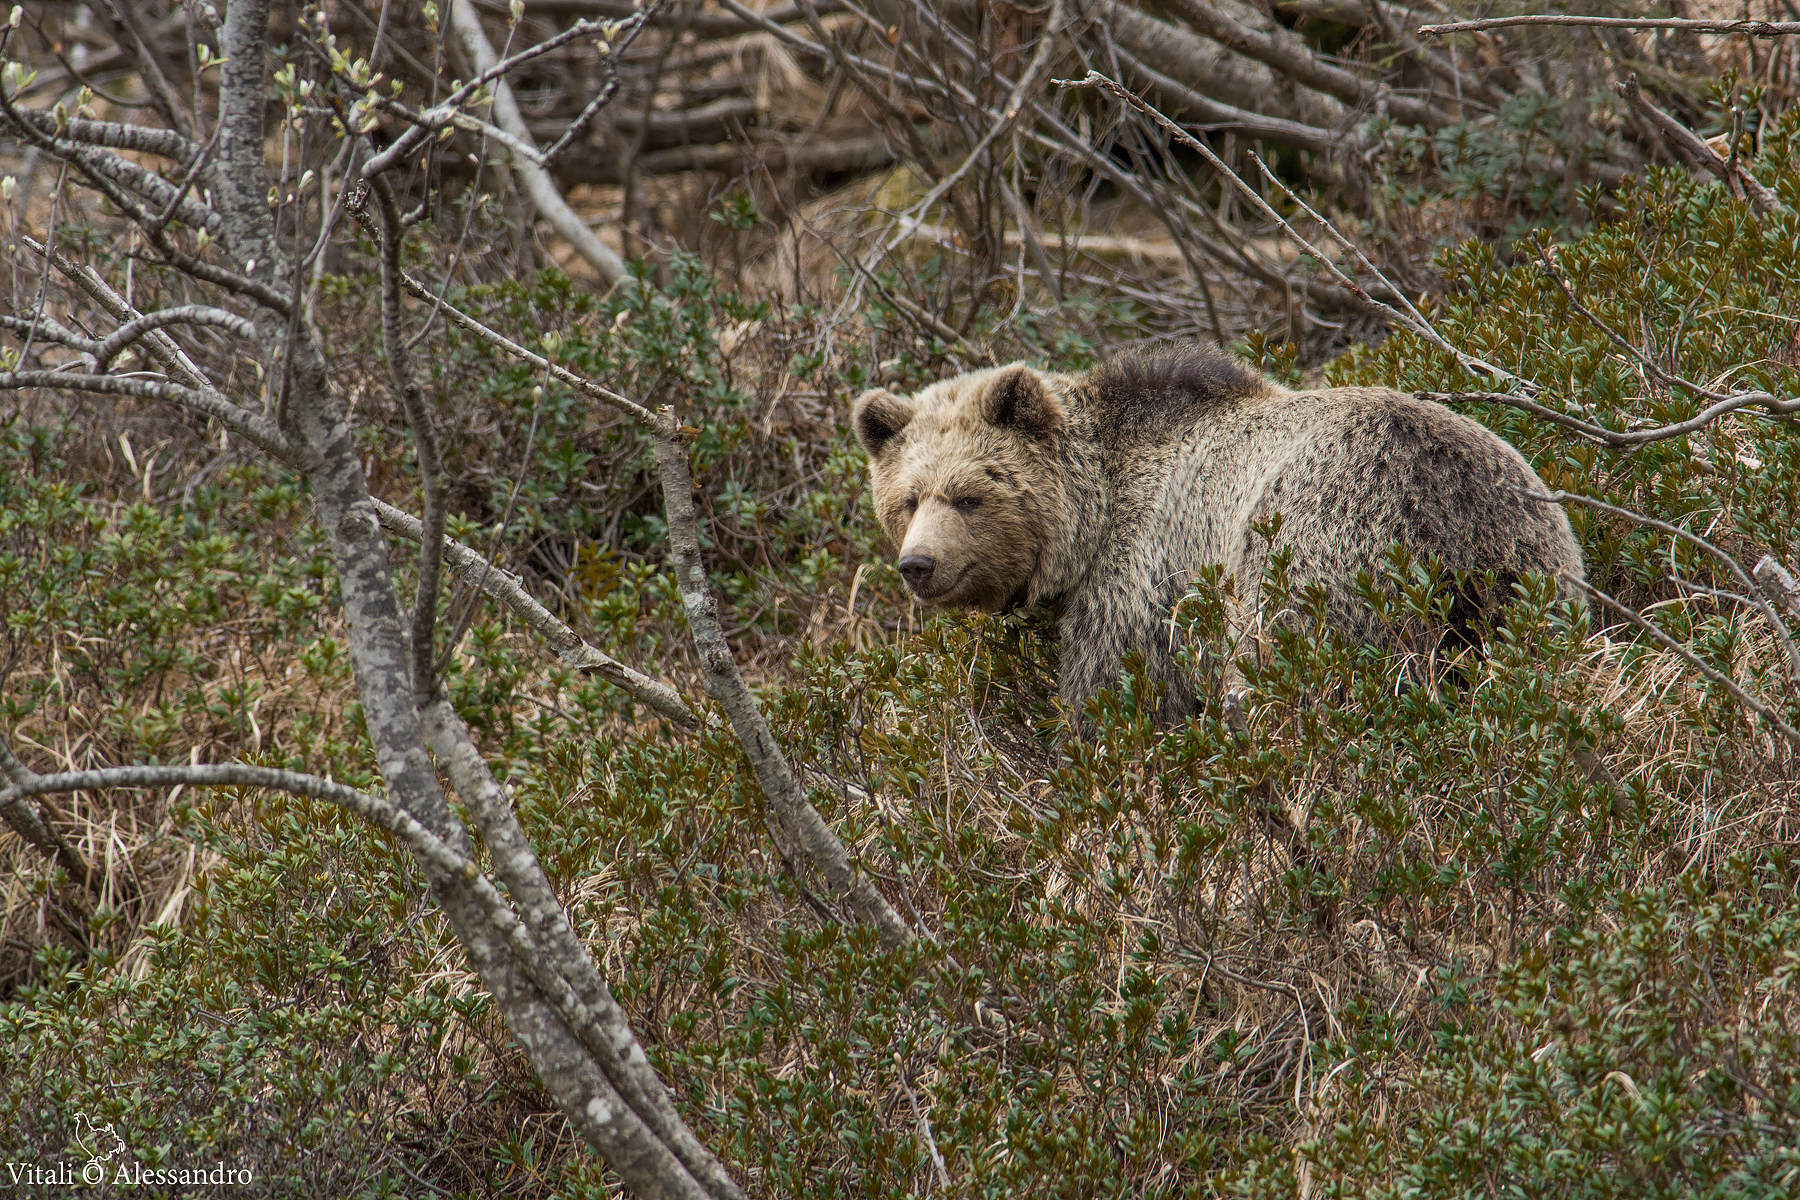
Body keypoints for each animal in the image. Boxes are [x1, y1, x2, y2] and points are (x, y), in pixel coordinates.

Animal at [852, 344, 1585, 726]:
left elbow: (1122, 693)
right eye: (907, 499)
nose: (918, 565)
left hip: (1322, 547)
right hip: (1532, 572)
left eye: (969, 495)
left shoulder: (1145, 569)